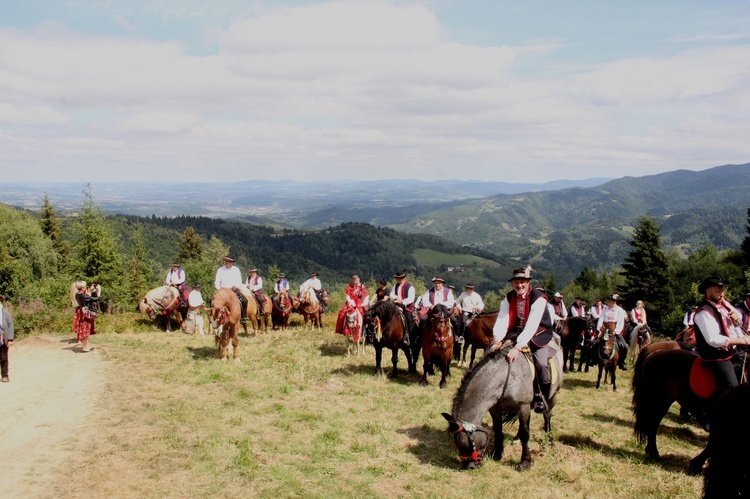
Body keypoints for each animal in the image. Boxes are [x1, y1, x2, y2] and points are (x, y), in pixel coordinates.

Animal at [440, 342, 564, 470]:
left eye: (469, 442)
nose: (470, 466)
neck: (506, 378)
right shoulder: (495, 409)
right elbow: (498, 429)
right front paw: (497, 453)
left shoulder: (523, 406)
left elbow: (526, 434)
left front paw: (525, 462)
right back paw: (517, 438)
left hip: (552, 397)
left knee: (547, 416)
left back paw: (549, 440)